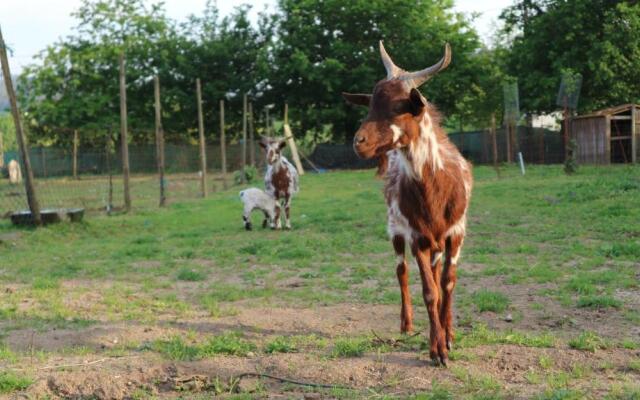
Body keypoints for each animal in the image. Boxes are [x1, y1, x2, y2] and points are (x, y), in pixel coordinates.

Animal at [342, 41, 472, 366]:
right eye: (370, 105)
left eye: (399, 107)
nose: (358, 142)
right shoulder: (415, 236)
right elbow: (429, 290)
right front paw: (437, 350)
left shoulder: (456, 232)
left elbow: (446, 283)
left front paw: (448, 337)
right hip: (395, 230)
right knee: (401, 271)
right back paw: (407, 324)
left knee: (437, 275)